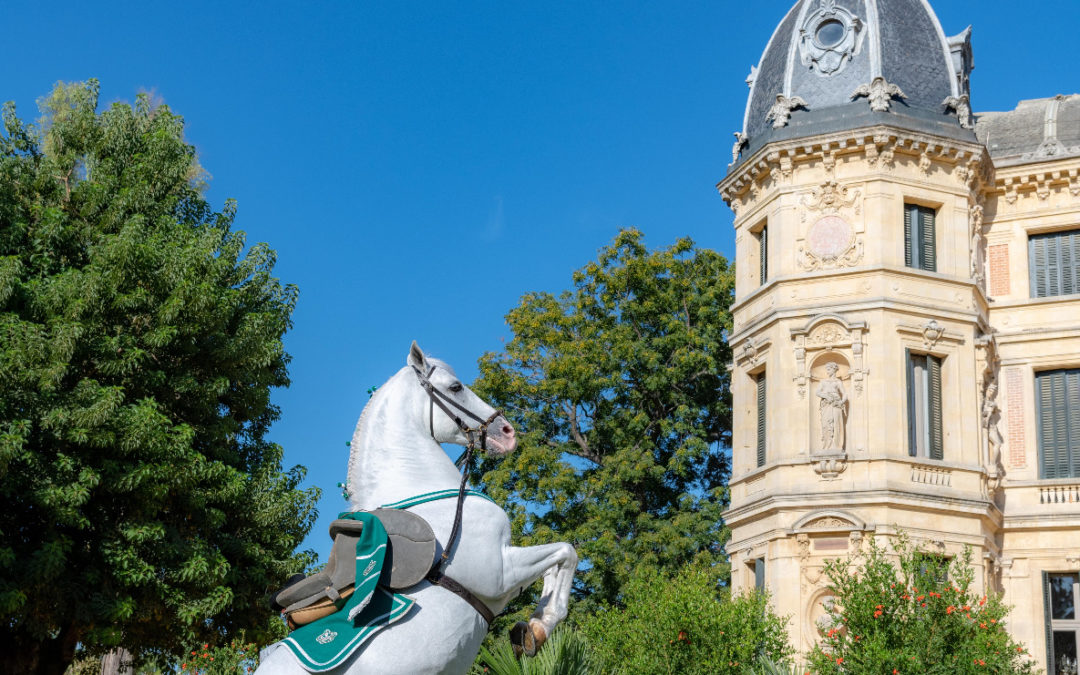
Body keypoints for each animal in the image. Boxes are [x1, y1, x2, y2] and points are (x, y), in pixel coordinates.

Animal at [257, 345, 578, 669]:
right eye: (456, 387)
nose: (508, 431)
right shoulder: (499, 574)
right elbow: (566, 553)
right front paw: (537, 629)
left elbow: (558, 563)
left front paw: (529, 630)